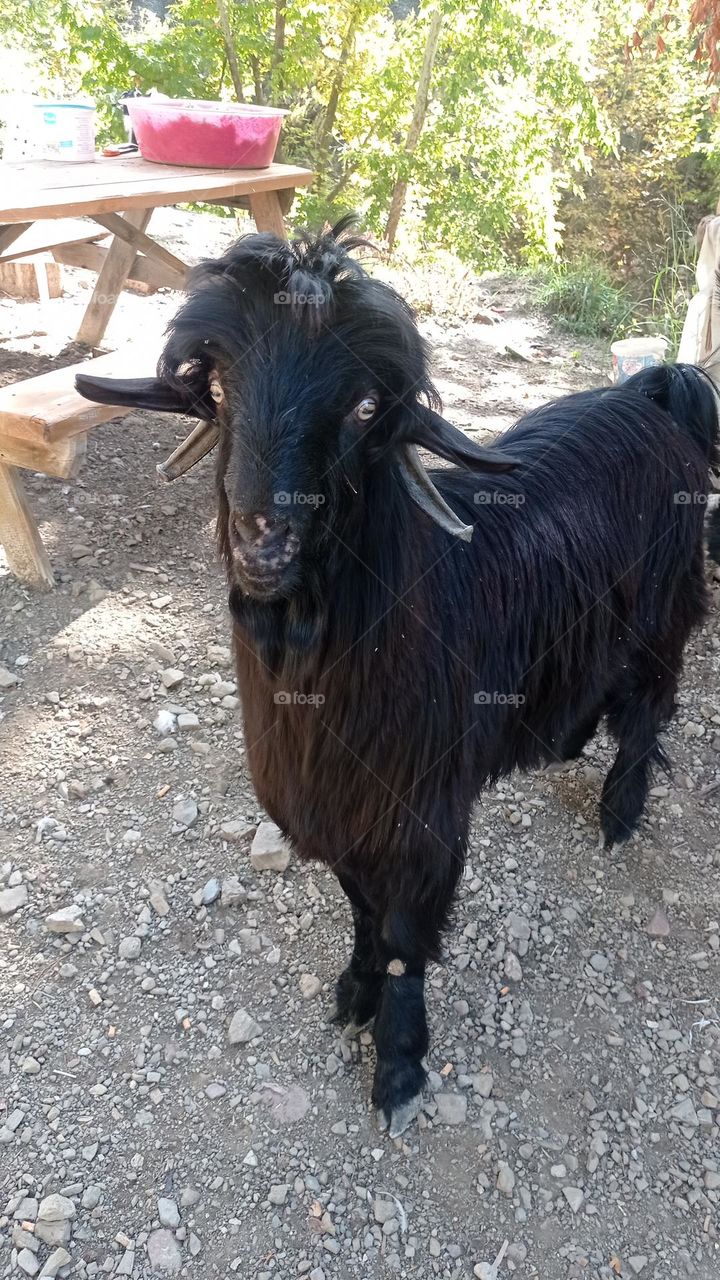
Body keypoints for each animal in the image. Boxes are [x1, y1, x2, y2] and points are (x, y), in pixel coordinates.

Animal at [77, 219, 719, 1137]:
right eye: (222, 387)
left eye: (364, 409)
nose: (261, 538)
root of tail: (659, 391)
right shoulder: (345, 815)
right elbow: (360, 912)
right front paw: (351, 995)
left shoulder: (422, 818)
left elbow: (406, 940)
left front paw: (399, 1066)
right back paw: (563, 743)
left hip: (663, 613)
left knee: (648, 713)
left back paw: (619, 814)